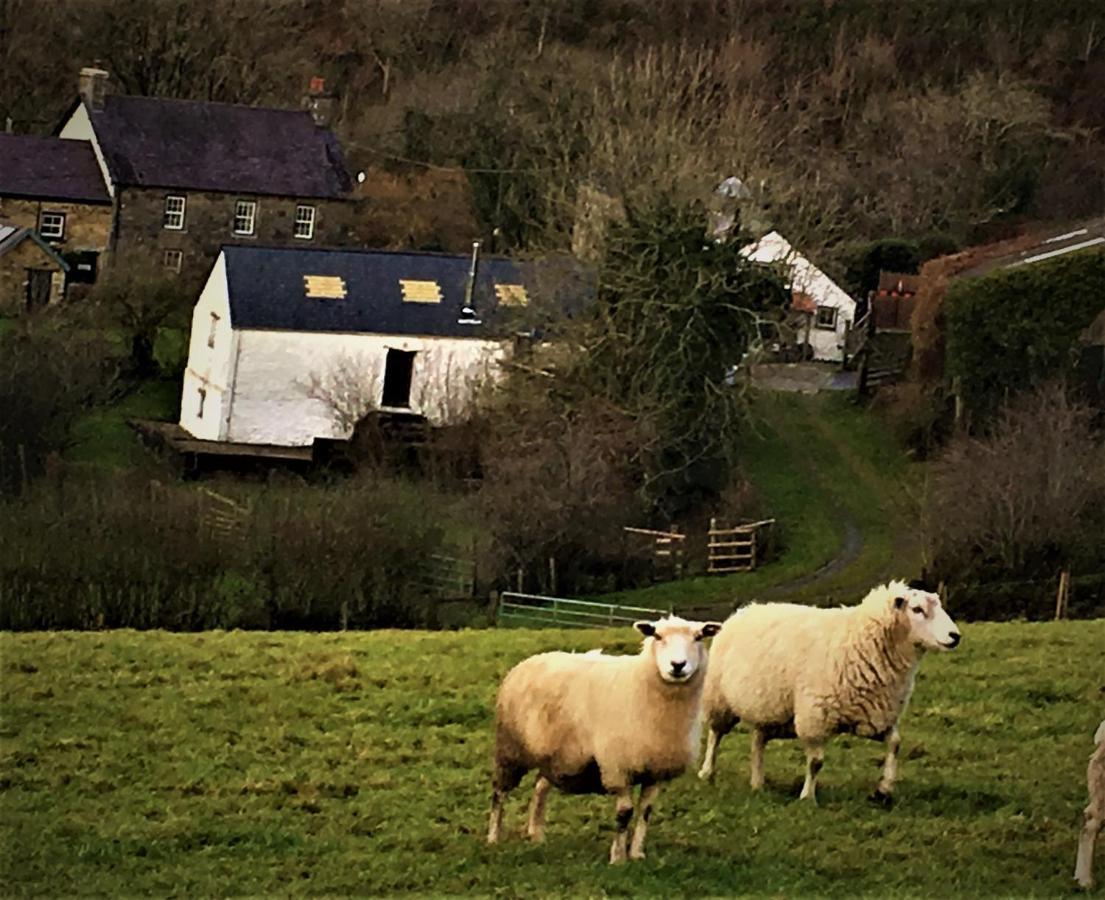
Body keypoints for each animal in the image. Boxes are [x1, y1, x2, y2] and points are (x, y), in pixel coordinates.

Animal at [488, 614, 720, 862]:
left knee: (540, 787)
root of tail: (530, 661)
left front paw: (636, 853)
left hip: (553, 757)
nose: (678, 665)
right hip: (510, 748)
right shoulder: (618, 766)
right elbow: (625, 813)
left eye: (699, 637)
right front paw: (618, 858)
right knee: (499, 792)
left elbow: (645, 812)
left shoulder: (656, 770)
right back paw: (493, 837)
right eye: (657, 636)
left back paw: (536, 833)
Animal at [698, 579, 959, 804]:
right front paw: (807, 797)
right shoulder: (815, 717)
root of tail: (744, 610)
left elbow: (895, 744)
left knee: (757, 742)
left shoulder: (876, 715)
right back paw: (707, 772)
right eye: (917, 609)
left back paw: (757, 782)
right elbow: (816, 762)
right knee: (715, 735)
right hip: (719, 699)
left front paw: (884, 789)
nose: (955, 636)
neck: (862, 639)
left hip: (769, 709)